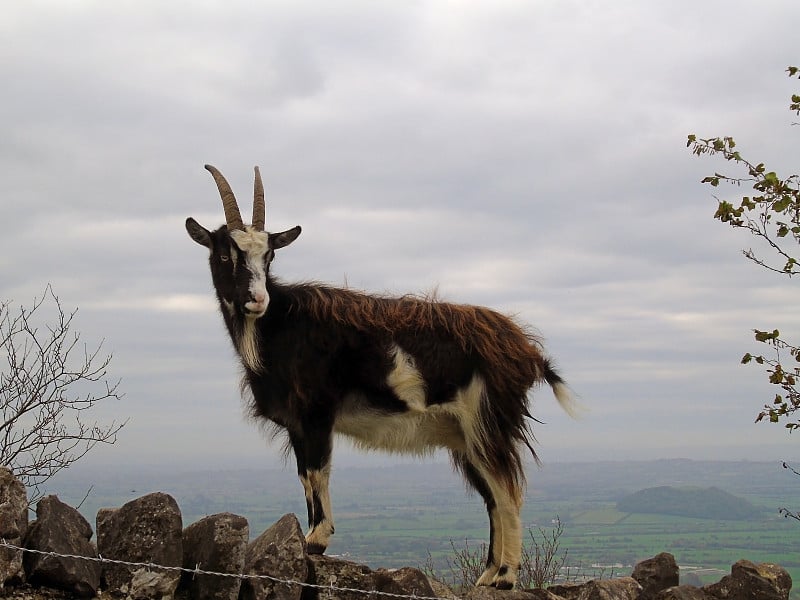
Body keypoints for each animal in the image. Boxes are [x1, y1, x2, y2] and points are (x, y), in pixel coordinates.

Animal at [188, 165, 576, 592]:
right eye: (225, 252)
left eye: (269, 255)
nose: (258, 299)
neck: (281, 326)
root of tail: (526, 350)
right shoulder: (297, 424)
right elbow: (304, 475)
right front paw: (310, 539)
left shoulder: (317, 414)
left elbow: (317, 472)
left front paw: (317, 540)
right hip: (465, 435)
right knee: (492, 495)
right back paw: (487, 576)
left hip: (488, 421)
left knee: (508, 492)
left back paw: (505, 577)